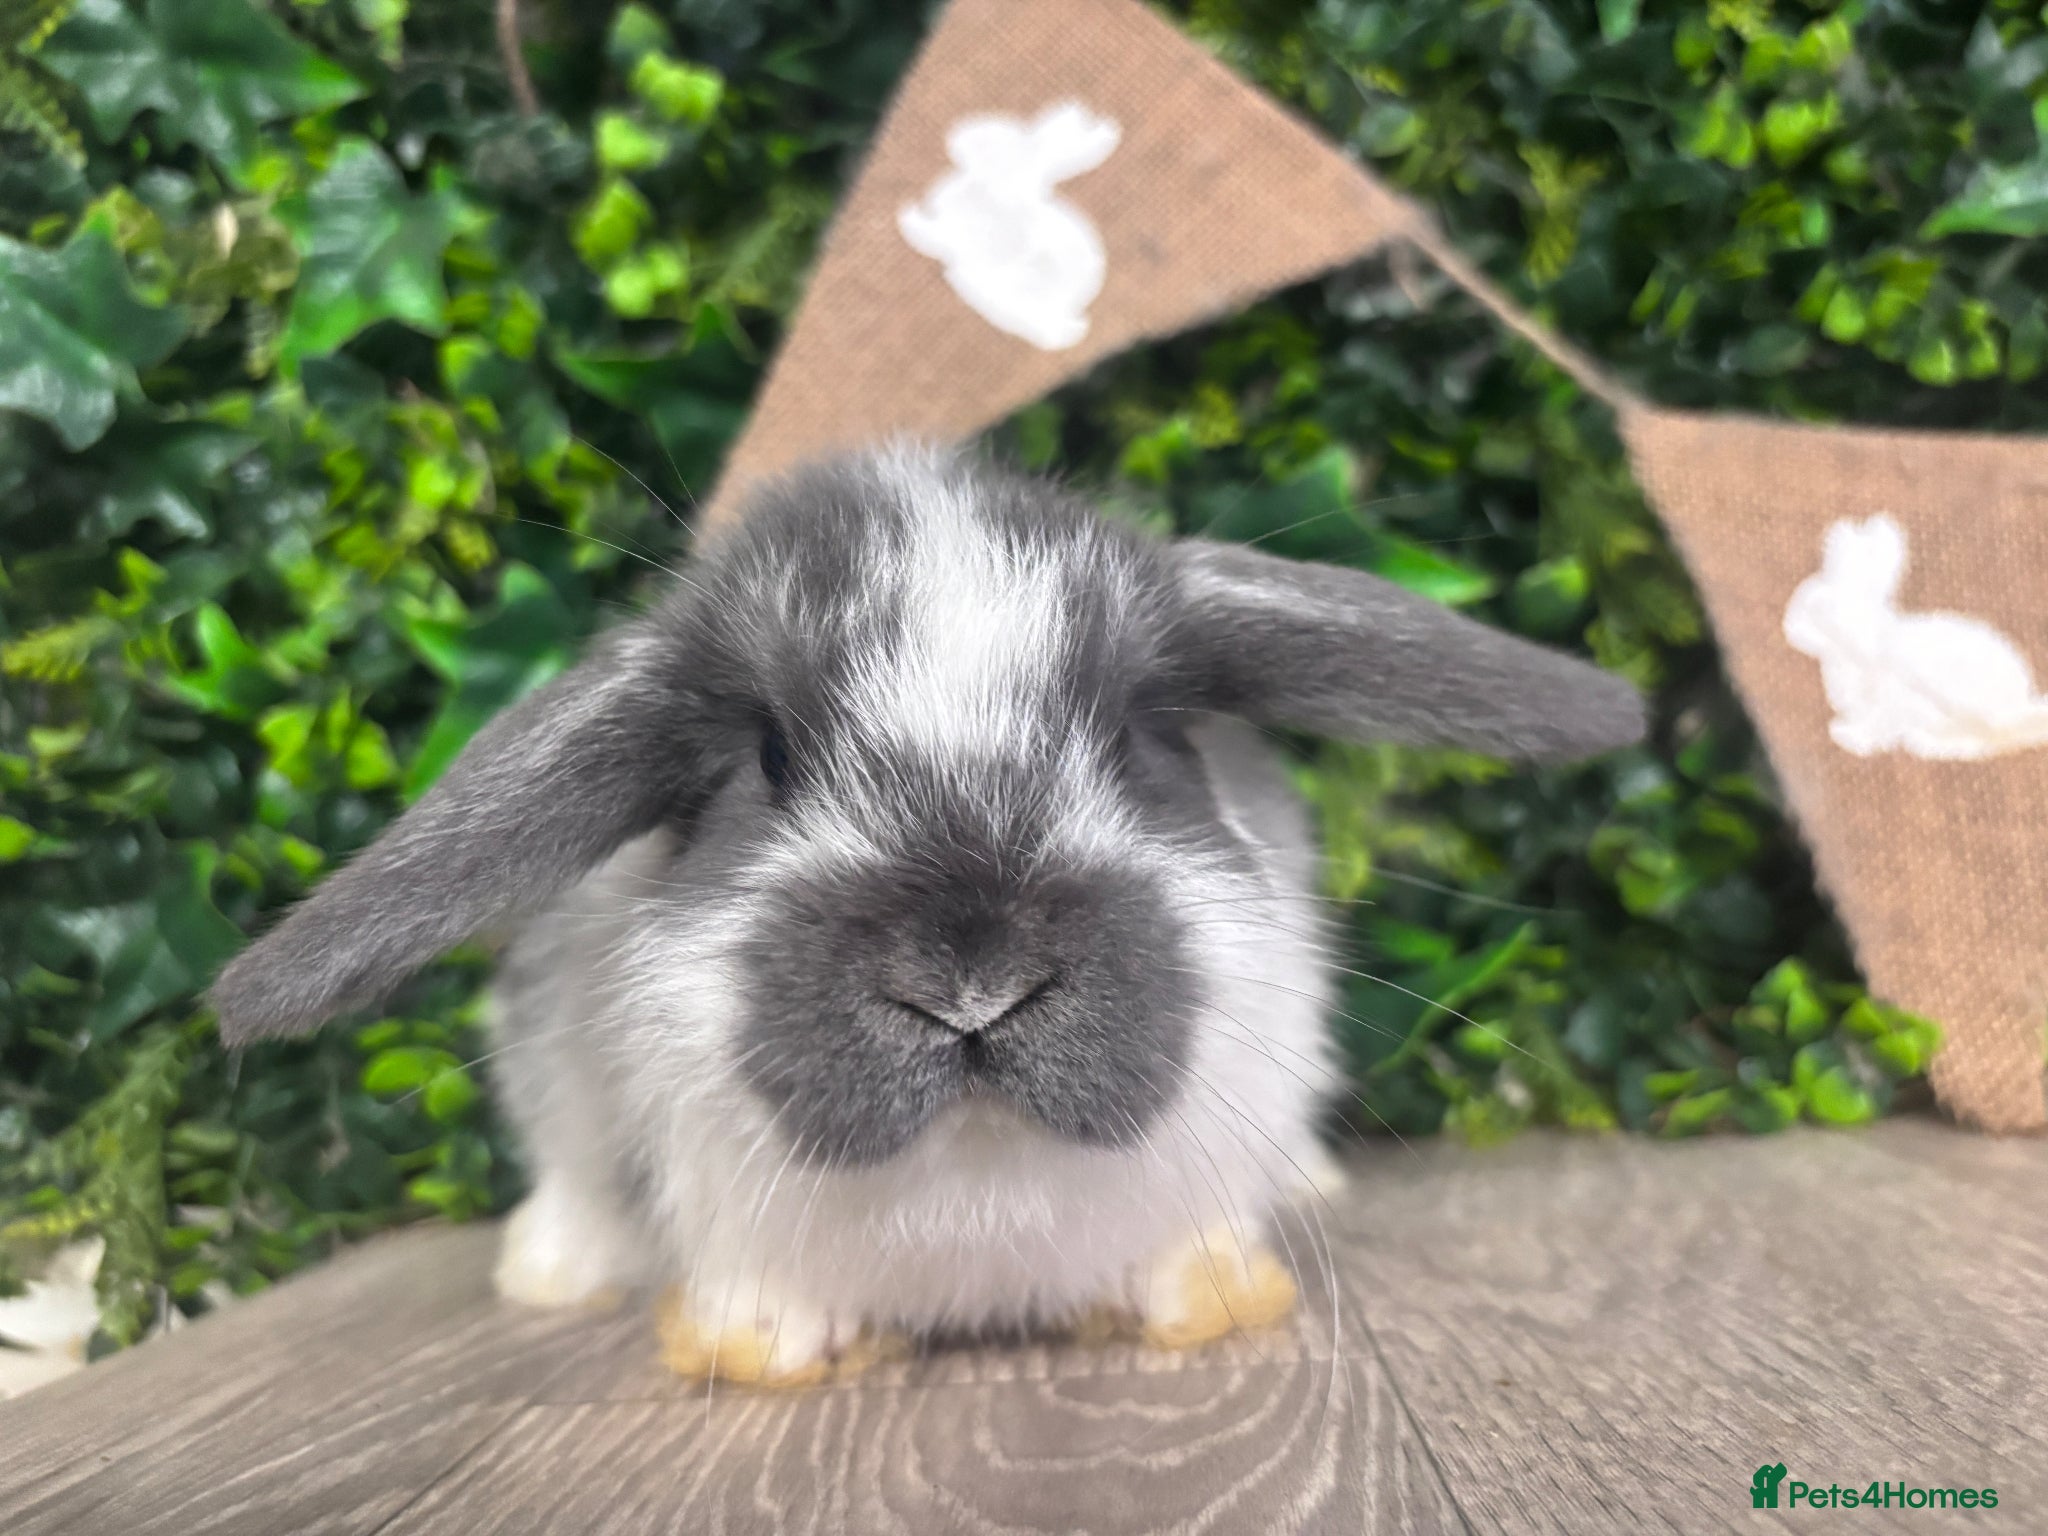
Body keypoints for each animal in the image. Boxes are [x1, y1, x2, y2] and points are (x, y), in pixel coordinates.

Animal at [211, 445, 1644, 1384]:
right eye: (767, 757)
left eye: (1140, 730)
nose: (972, 987)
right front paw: (760, 1337)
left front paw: (1201, 1292)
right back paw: (552, 1269)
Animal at [1783, 513, 2048, 762]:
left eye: (1820, 607)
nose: (1789, 627)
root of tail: (2020, 708)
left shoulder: (1892, 698)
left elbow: (1879, 725)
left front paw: (1851, 738)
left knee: (1986, 740)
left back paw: (1927, 743)